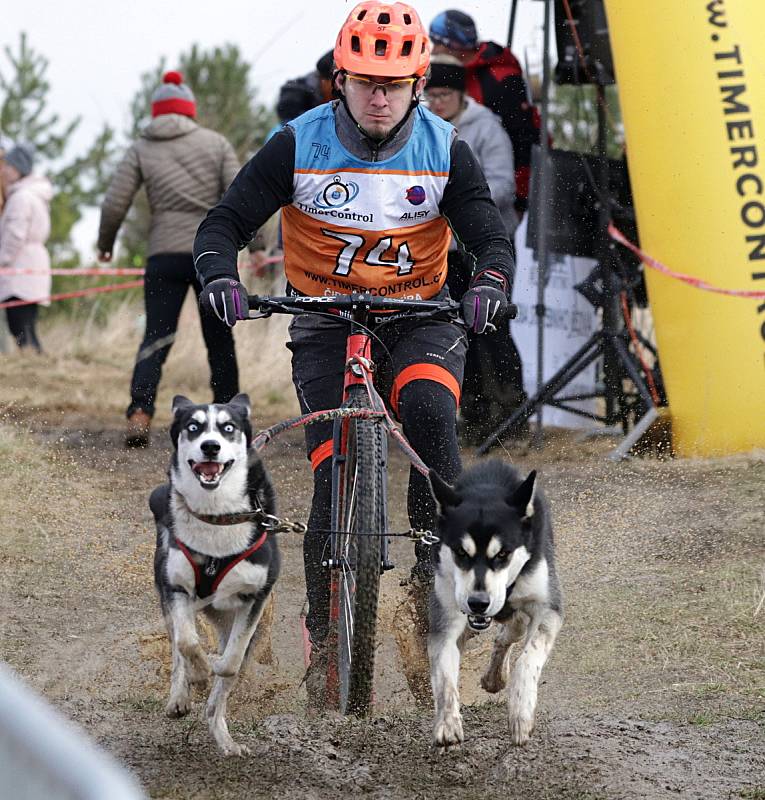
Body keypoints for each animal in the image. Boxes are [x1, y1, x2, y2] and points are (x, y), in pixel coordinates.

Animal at [150, 394, 280, 756]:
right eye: (193, 427)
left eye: (228, 428)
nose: (210, 446)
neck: (216, 517)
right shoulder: (177, 589)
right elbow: (187, 643)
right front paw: (198, 672)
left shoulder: (255, 597)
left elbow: (232, 661)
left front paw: (215, 664)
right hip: (177, 601)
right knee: (178, 649)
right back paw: (181, 695)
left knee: (218, 697)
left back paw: (224, 738)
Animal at [426, 462, 564, 752]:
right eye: (460, 552)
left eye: (503, 554)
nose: (478, 603)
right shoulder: (447, 616)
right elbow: (444, 673)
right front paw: (447, 722)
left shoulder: (548, 607)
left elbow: (528, 658)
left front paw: (521, 710)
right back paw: (493, 677)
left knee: (510, 633)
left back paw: (496, 676)